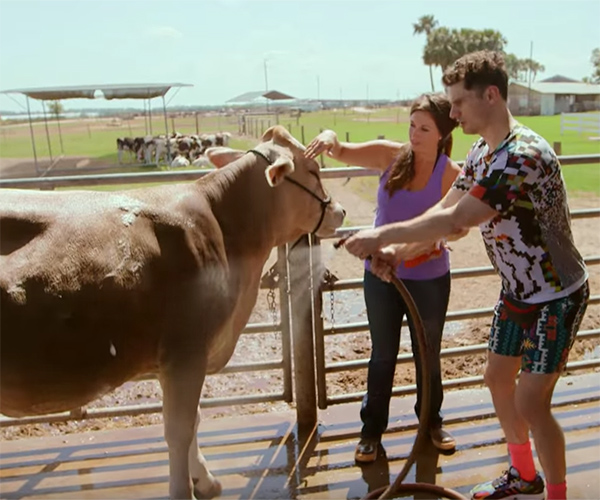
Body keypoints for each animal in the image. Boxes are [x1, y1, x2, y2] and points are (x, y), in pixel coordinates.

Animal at [0, 126, 344, 500]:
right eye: (313, 171)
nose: (340, 211)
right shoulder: (185, 353)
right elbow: (179, 430)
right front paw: (185, 488)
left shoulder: (184, 360)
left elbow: (193, 421)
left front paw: (205, 480)